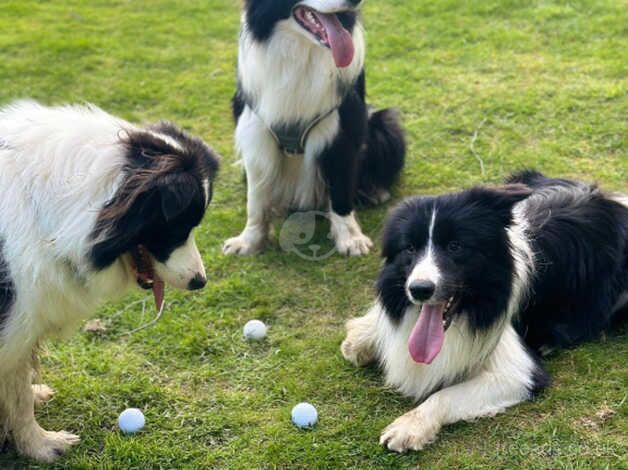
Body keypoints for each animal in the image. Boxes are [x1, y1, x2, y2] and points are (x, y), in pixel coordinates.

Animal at [0, 100, 220, 462]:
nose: (200, 281)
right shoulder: (14, 317)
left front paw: (33, 403)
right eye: (178, 228)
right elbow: (18, 396)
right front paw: (42, 445)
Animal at [223, 0, 404, 258]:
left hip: (385, 125)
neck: (301, 52)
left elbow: (341, 187)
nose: (356, 1)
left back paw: (374, 191)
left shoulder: (343, 131)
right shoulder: (255, 132)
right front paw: (249, 241)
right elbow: (256, 199)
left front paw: (351, 239)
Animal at [344, 172, 628, 452]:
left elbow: (446, 395)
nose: (419, 289)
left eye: (455, 246)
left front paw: (410, 426)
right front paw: (363, 336)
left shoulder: (518, 372)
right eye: (410, 248)